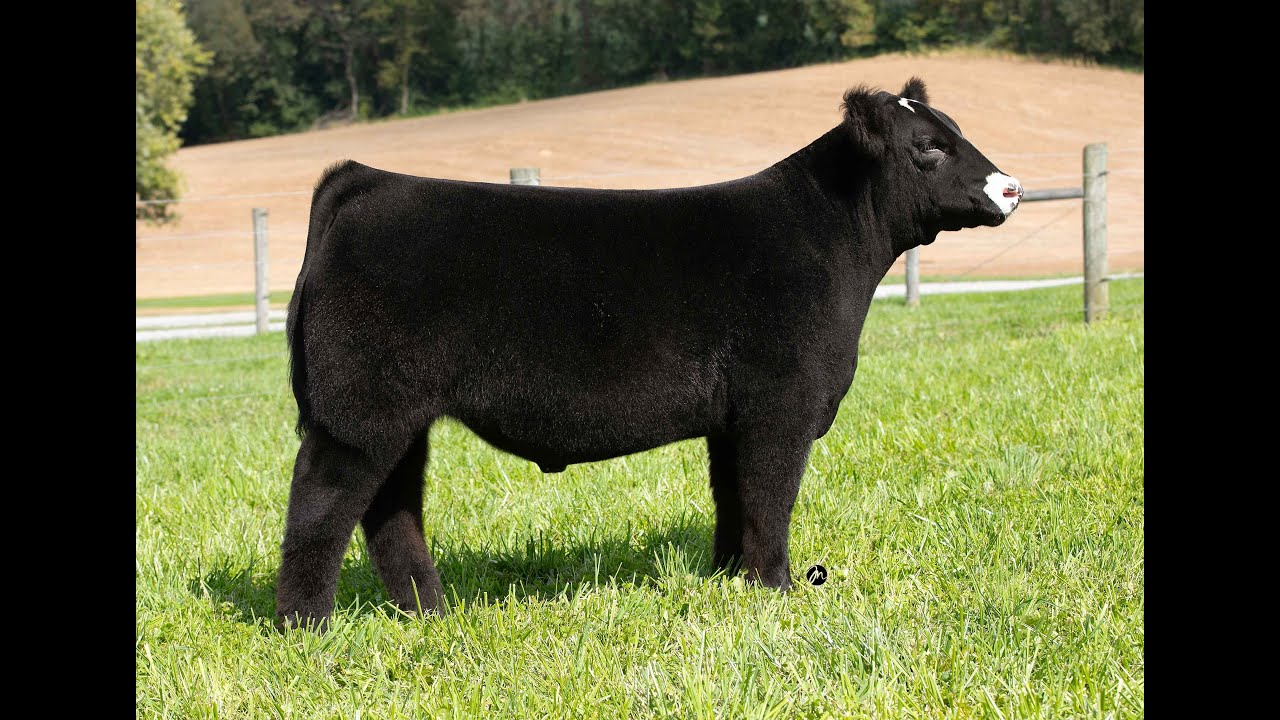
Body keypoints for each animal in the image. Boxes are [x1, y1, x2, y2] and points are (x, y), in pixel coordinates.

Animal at [276, 77, 1023, 629]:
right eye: (928, 147)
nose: (1011, 186)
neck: (832, 241)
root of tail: (365, 179)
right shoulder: (781, 408)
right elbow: (770, 497)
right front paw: (777, 589)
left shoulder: (732, 419)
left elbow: (733, 498)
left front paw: (731, 580)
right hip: (359, 412)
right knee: (320, 503)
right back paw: (305, 625)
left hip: (398, 417)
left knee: (391, 508)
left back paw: (429, 612)